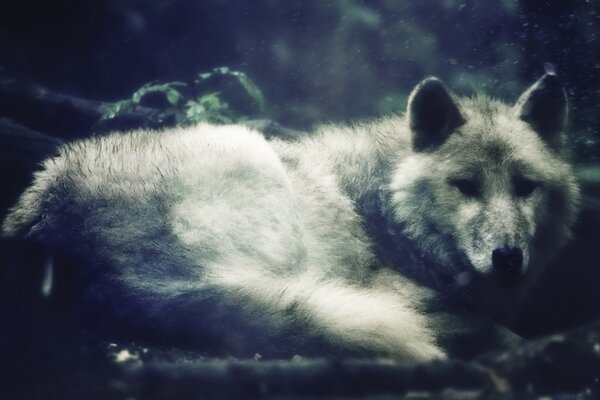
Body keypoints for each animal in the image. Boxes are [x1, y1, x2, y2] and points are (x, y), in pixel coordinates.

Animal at [2, 72, 580, 362]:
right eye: (465, 186)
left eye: (526, 187)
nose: (508, 258)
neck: (387, 207)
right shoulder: (387, 284)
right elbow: (489, 327)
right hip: (256, 172)